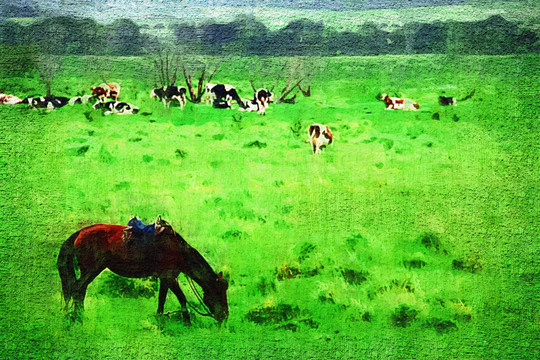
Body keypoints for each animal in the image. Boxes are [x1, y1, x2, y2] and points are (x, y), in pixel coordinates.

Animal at [56, 218, 229, 324]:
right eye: (218, 292)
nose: (225, 316)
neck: (178, 251)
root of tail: (80, 232)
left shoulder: (167, 278)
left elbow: (167, 299)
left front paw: (166, 319)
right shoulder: (169, 277)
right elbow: (177, 299)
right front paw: (184, 321)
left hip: (90, 271)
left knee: (80, 291)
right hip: (91, 270)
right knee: (77, 289)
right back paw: (78, 318)